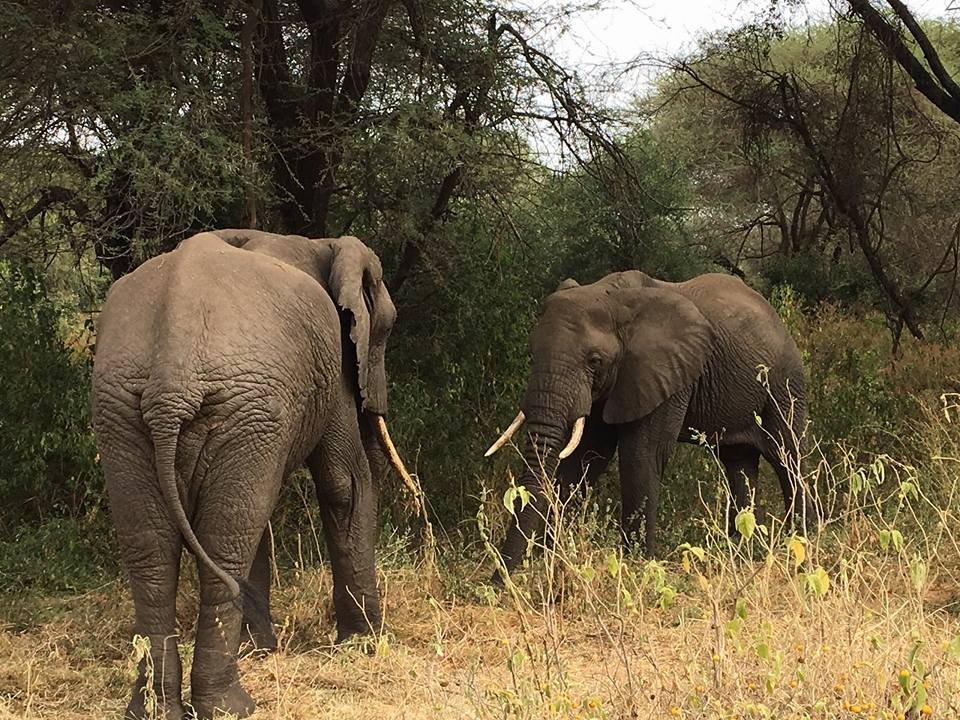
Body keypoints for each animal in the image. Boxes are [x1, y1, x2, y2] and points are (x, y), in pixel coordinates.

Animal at [92, 231, 414, 720]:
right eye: (389, 328)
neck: (324, 245)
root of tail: (170, 379)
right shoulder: (332, 368)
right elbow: (344, 484)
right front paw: (365, 644)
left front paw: (258, 649)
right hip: (237, 405)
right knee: (223, 544)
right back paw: (231, 706)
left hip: (129, 412)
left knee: (154, 548)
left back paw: (154, 709)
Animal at [488, 268, 816, 576]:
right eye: (532, 352)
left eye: (594, 361)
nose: (496, 579)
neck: (611, 295)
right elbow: (587, 456)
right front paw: (545, 561)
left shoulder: (666, 371)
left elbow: (642, 453)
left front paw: (635, 565)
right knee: (739, 462)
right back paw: (740, 551)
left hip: (784, 383)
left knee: (787, 456)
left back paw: (803, 543)